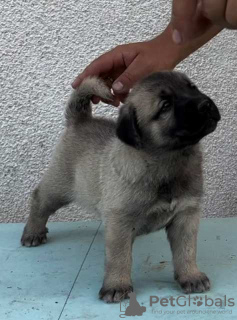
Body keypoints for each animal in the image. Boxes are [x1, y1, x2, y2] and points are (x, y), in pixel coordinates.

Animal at [21, 72, 221, 302]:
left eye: (192, 87)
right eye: (165, 106)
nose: (205, 104)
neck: (169, 161)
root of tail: (80, 120)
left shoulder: (186, 216)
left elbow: (186, 251)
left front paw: (191, 276)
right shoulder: (120, 223)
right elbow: (119, 257)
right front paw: (117, 285)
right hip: (59, 186)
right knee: (39, 200)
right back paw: (33, 232)